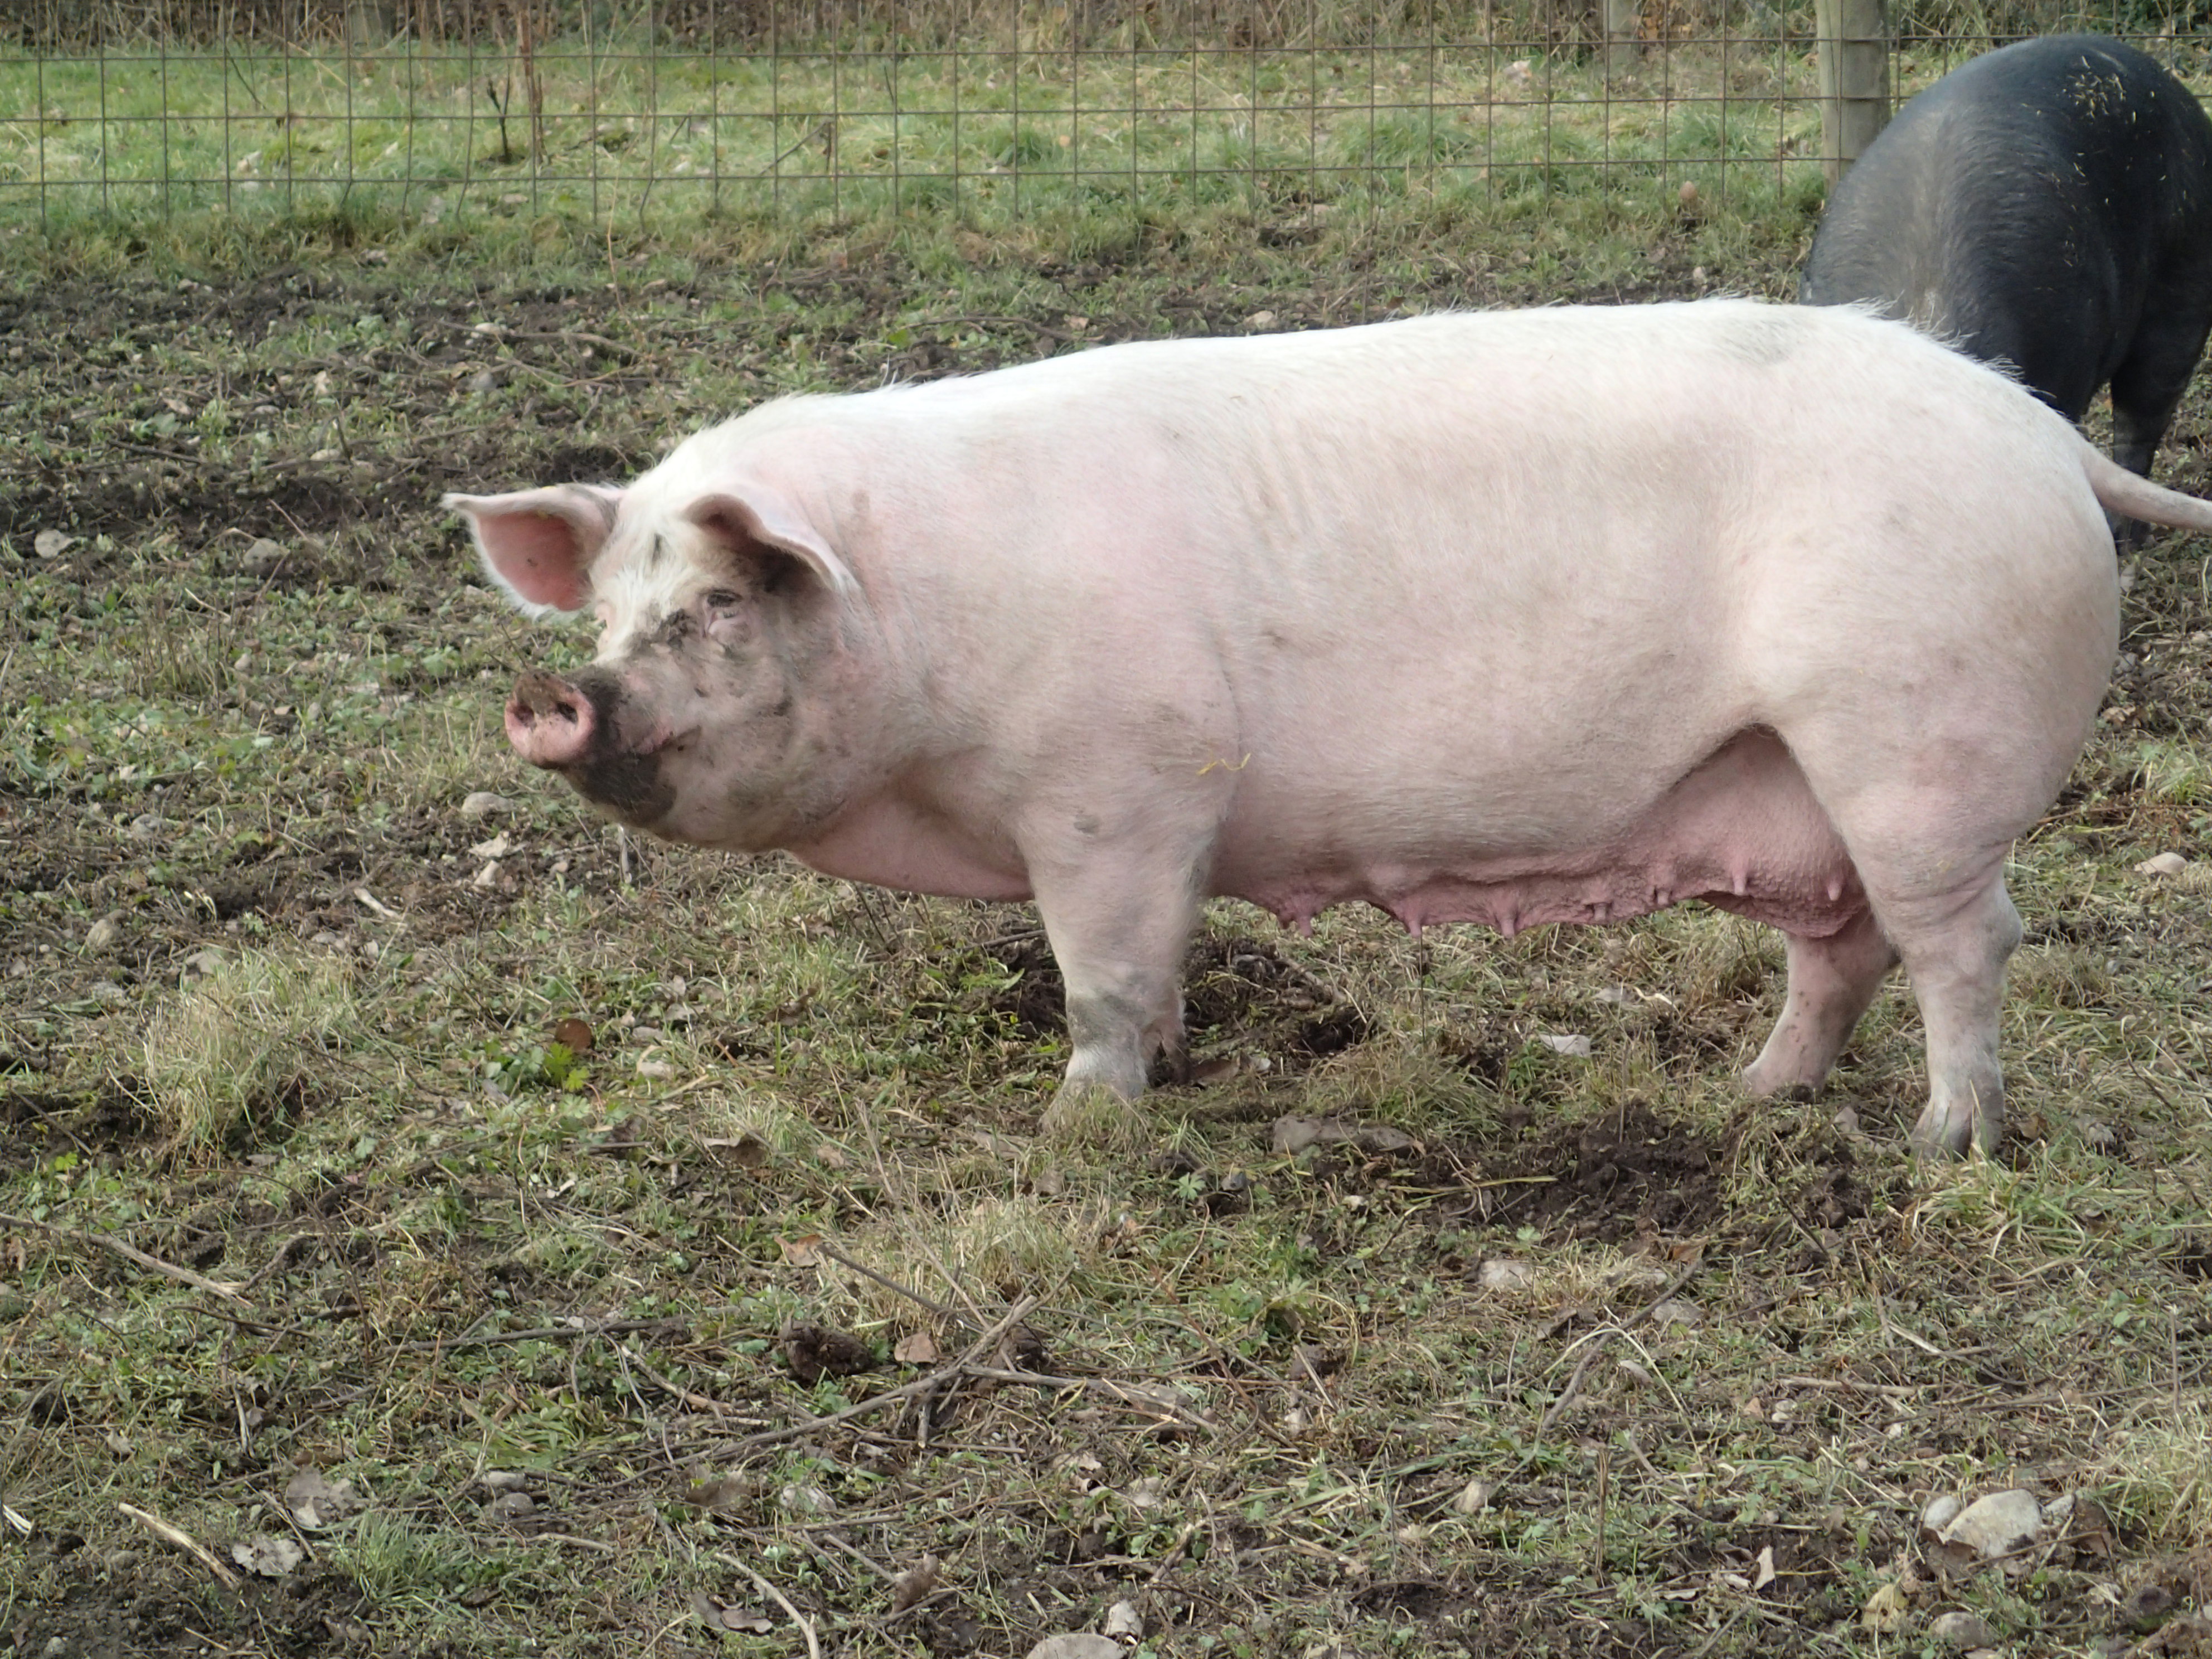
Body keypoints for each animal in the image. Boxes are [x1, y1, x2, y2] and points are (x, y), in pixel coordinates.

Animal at [447, 300, 2212, 1156]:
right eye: (606, 612)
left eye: (715, 607)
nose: (555, 696)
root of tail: (2044, 439)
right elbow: (1153, 966)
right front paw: (1167, 1062)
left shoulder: (1123, 787)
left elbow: (1099, 972)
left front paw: (1076, 1126)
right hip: (1806, 777)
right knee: (1839, 945)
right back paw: (1748, 1099)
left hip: (1916, 744)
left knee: (1965, 943)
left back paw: (1943, 1144)